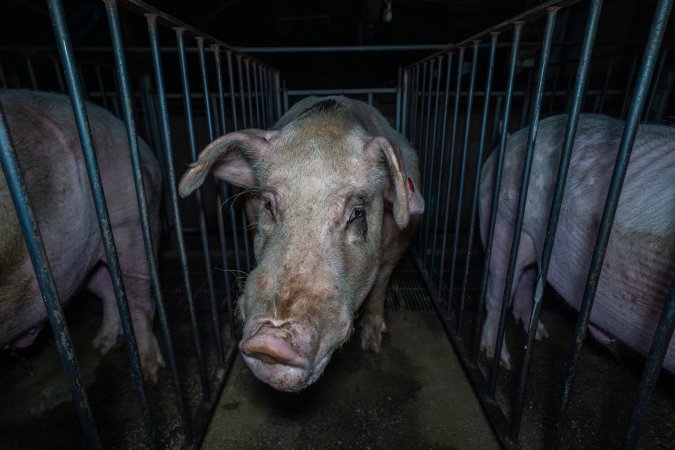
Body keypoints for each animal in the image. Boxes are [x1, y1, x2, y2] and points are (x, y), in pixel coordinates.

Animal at [0, 89, 164, 382]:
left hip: (128, 220)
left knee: (138, 295)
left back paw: (151, 373)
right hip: (74, 262)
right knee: (109, 290)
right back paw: (101, 346)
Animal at [480, 113, 675, 372]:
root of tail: (512, 137)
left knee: (526, 280)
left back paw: (539, 333)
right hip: (504, 221)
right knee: (498, 292)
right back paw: (501, 360)